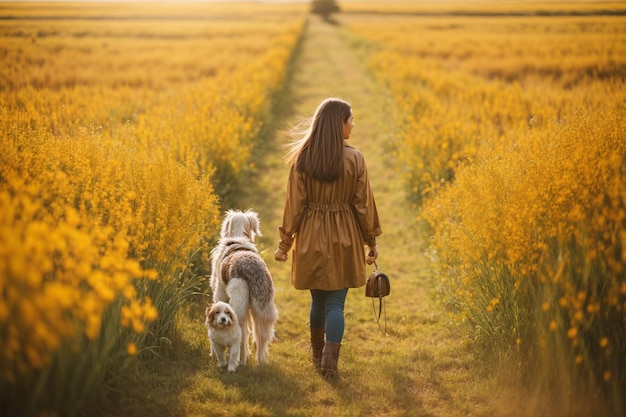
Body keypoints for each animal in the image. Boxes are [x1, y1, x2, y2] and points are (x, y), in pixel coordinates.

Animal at [210, 210, 278, 366]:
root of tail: (253, 270)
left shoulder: (219, 293)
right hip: (262, 308)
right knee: (259, 336)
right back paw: (258, 361)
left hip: (237, 303)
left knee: (240, 331)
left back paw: (237, 361)